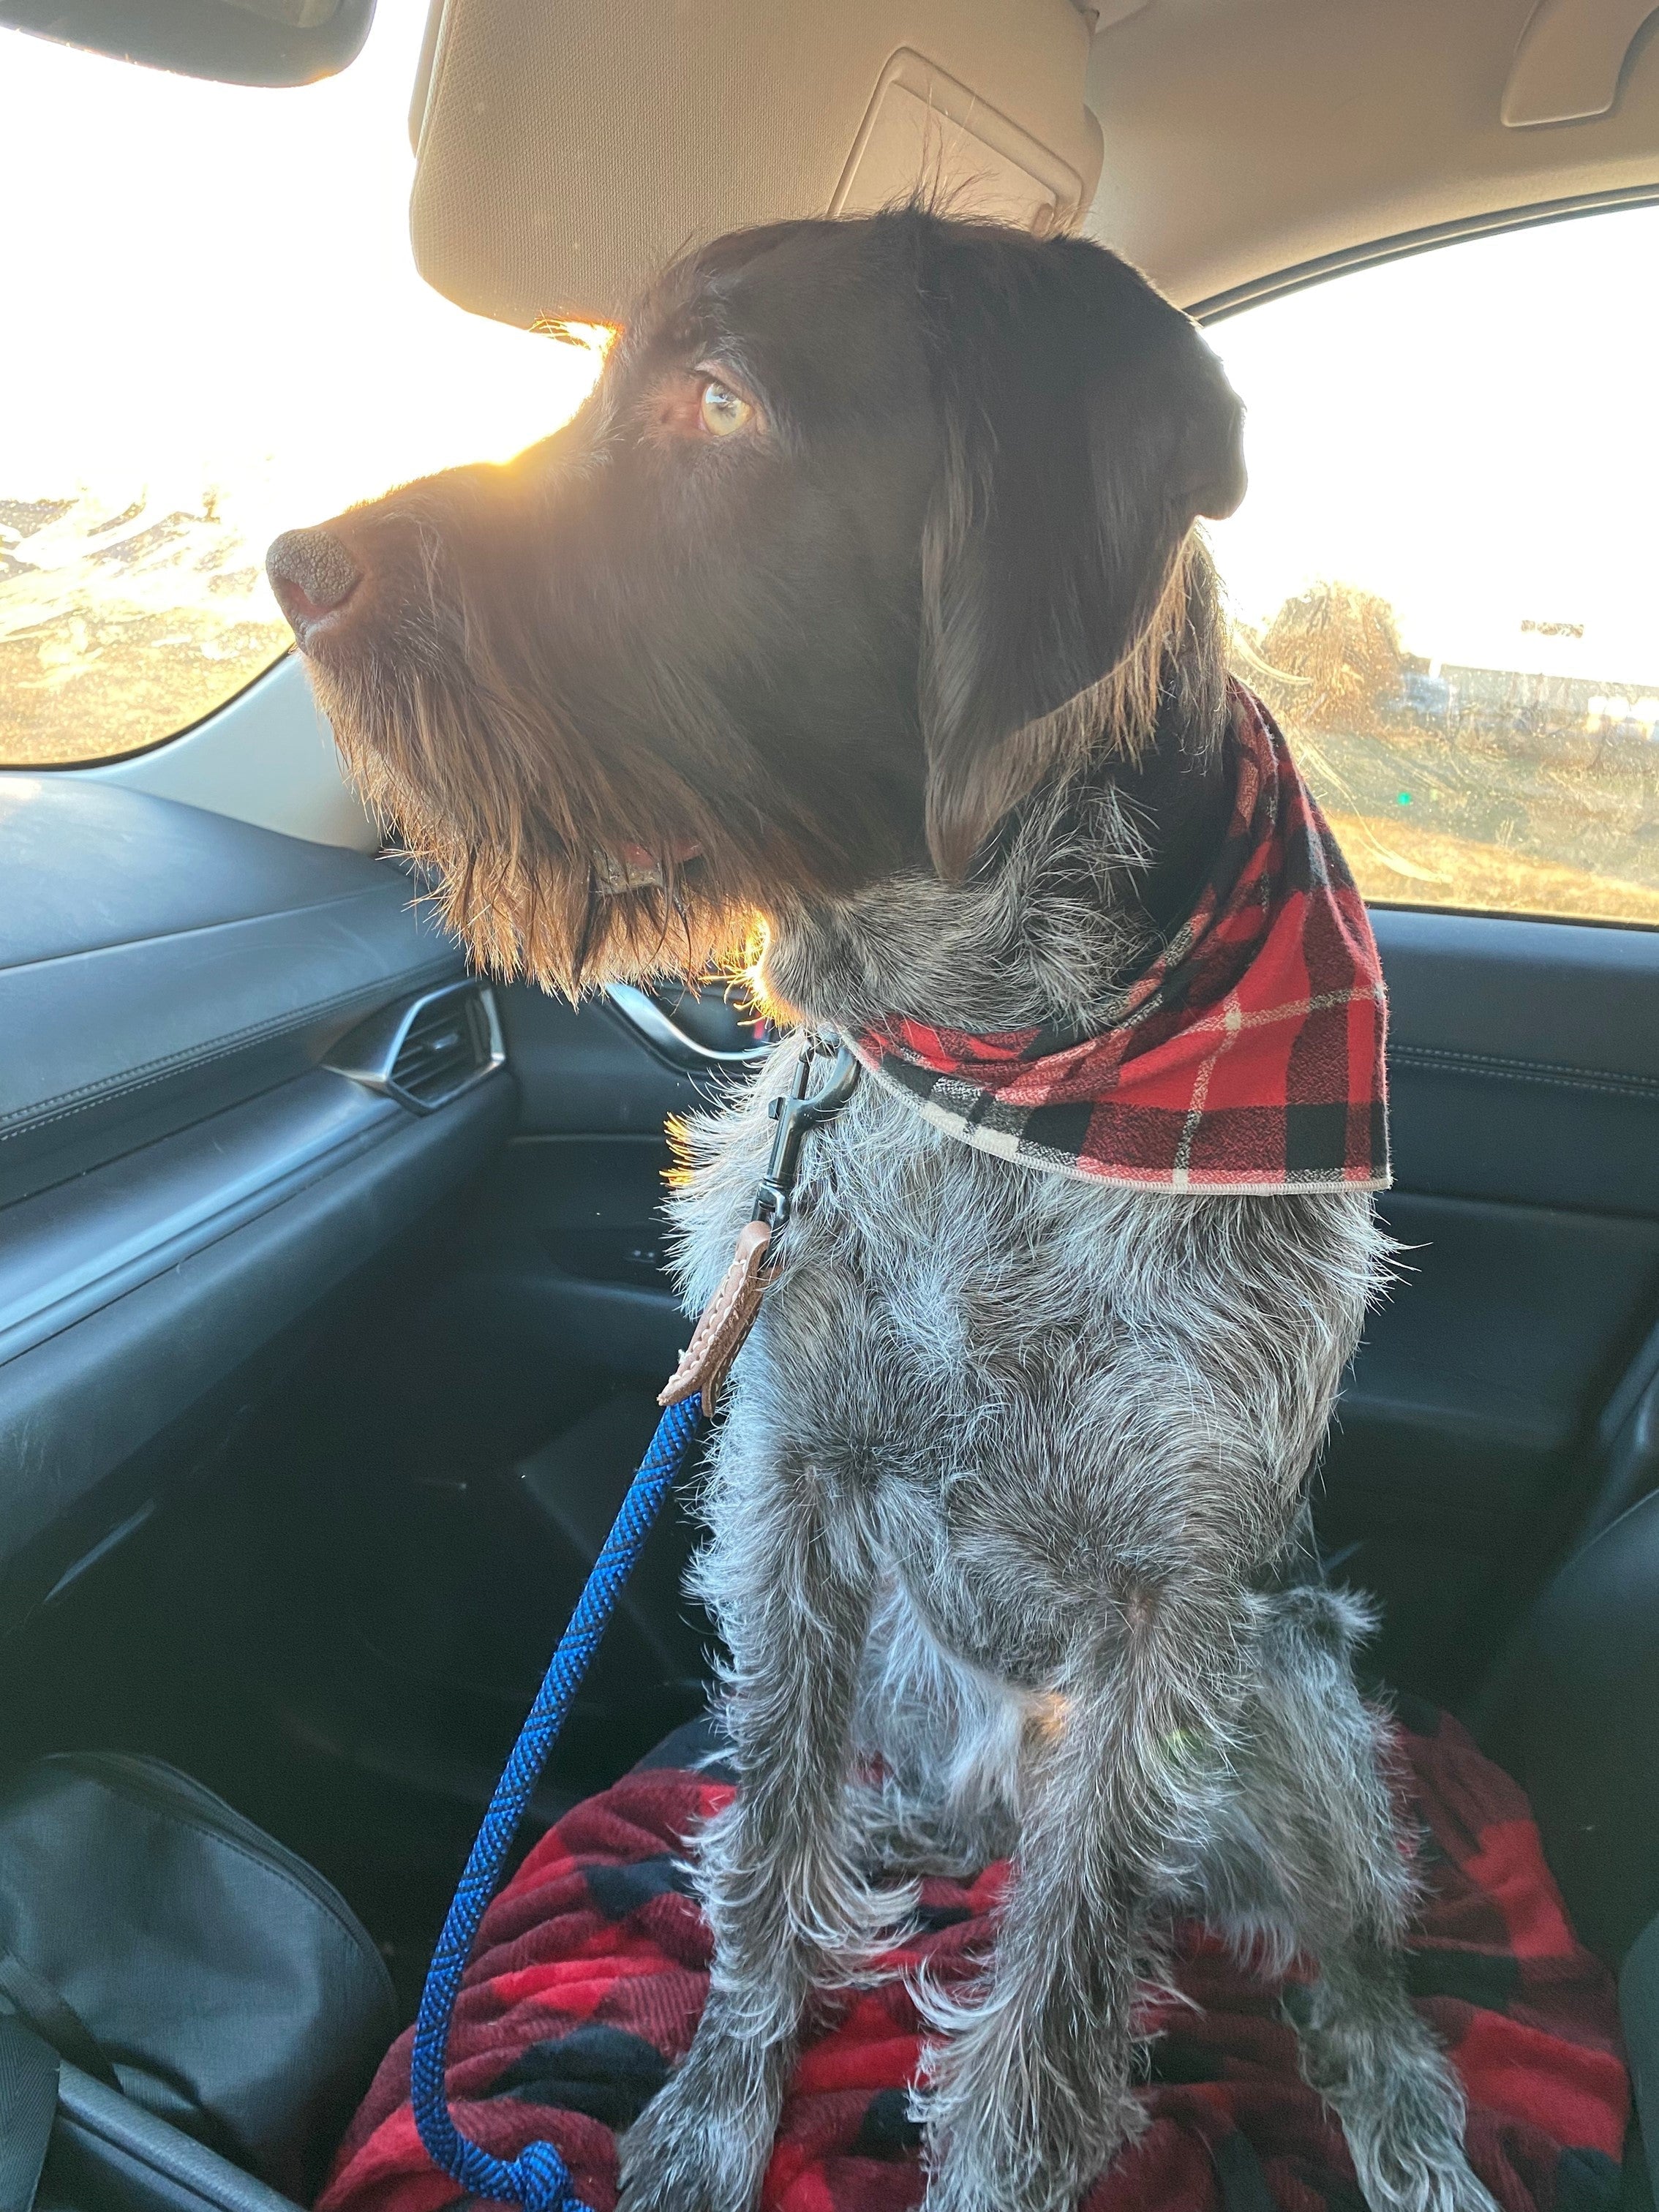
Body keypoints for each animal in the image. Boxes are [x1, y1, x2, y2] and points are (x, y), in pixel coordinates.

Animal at [269, 208, 1495, 2212]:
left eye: (719, 403)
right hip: (913, 1668)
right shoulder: (791, 1484)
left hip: (1295, 1714)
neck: (1000, 1068)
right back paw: (906, 1855)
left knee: (1357, 1949)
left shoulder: (1166, 1625)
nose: (292, 566)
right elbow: (768, 1832)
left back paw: (1401, 2110)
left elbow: (1055, 2009)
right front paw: (716, 2102)